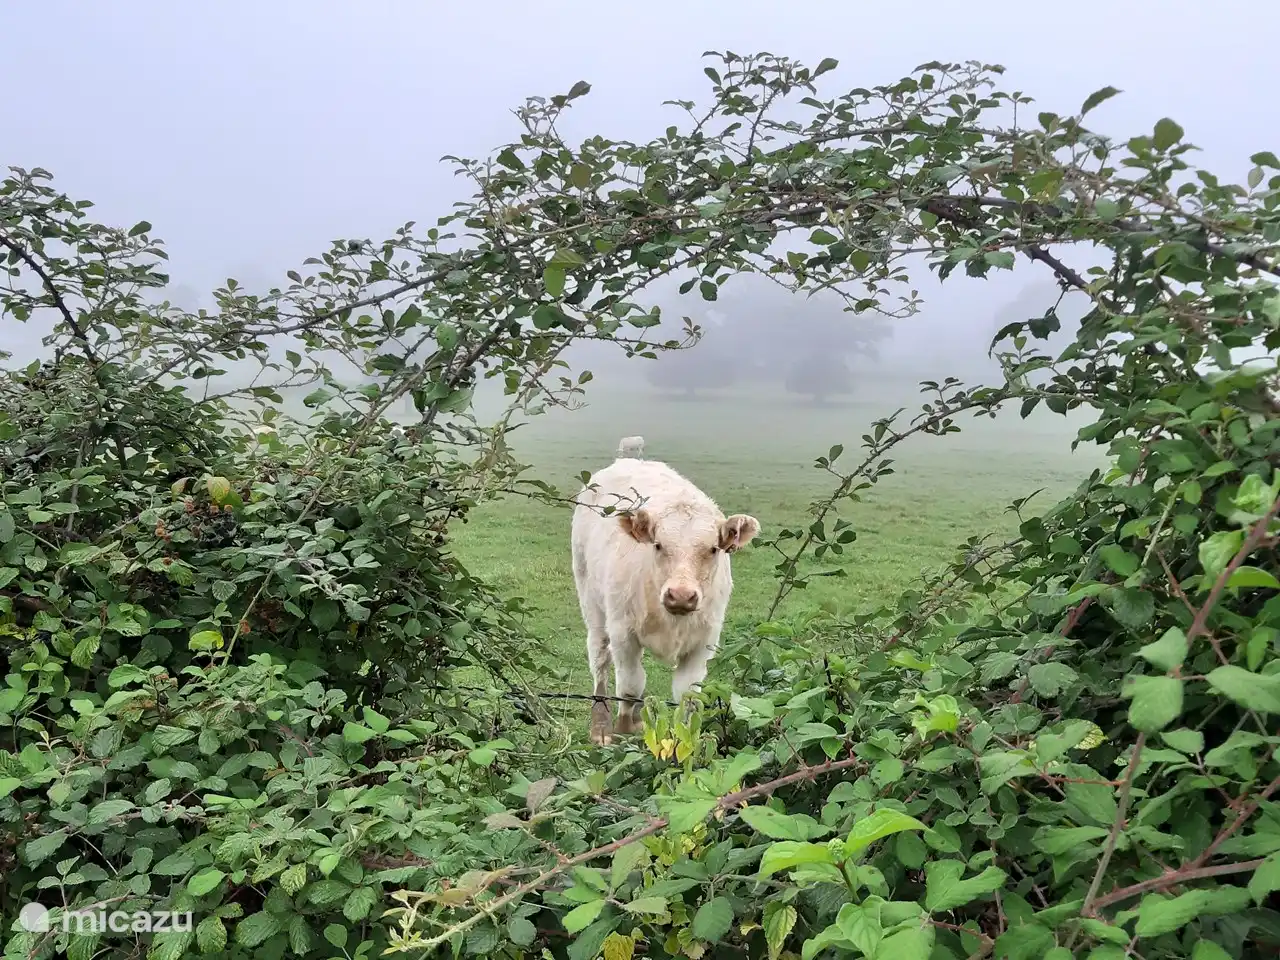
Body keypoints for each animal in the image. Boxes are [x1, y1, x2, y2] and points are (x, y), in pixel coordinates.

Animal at [570, 442, 760, 745]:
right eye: (658, 545)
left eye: (713, 549)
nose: (680, 596)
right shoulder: (623, 633)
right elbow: (630, 685)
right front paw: (624, 730)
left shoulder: (703, 643)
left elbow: (687, 696)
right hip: (590, 598)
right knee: (600, 658)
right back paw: (600, 727)